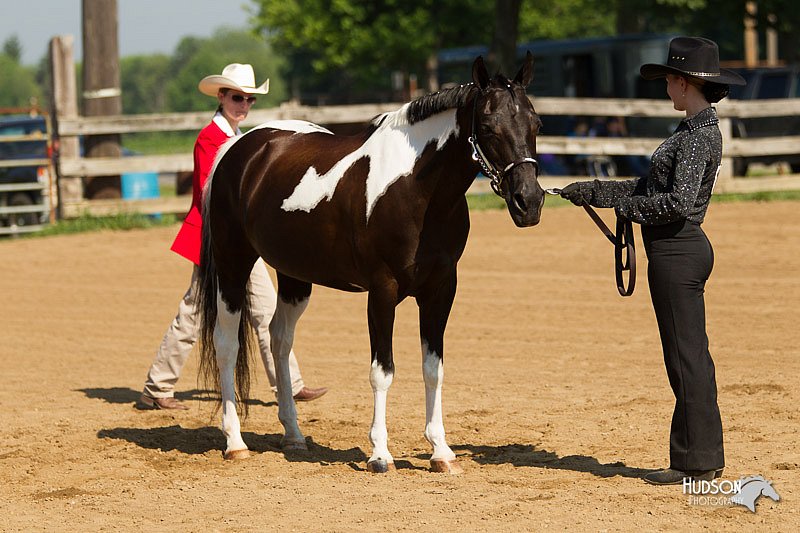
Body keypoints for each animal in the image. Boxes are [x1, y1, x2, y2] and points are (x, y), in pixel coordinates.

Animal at [196, 53, 544, 470]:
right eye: (489, 127)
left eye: (536, 123)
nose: (529, 202)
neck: (417, 190)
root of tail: (239, 147)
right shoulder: (382, 291)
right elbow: (383, 372)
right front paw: (380, 453)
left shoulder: (441, 290)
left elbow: (433, 369)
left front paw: (441, 451)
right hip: (233, 264)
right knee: (227, 343)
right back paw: (235, 442)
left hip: (294, 275)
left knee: (279, 338)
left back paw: (294, 436)